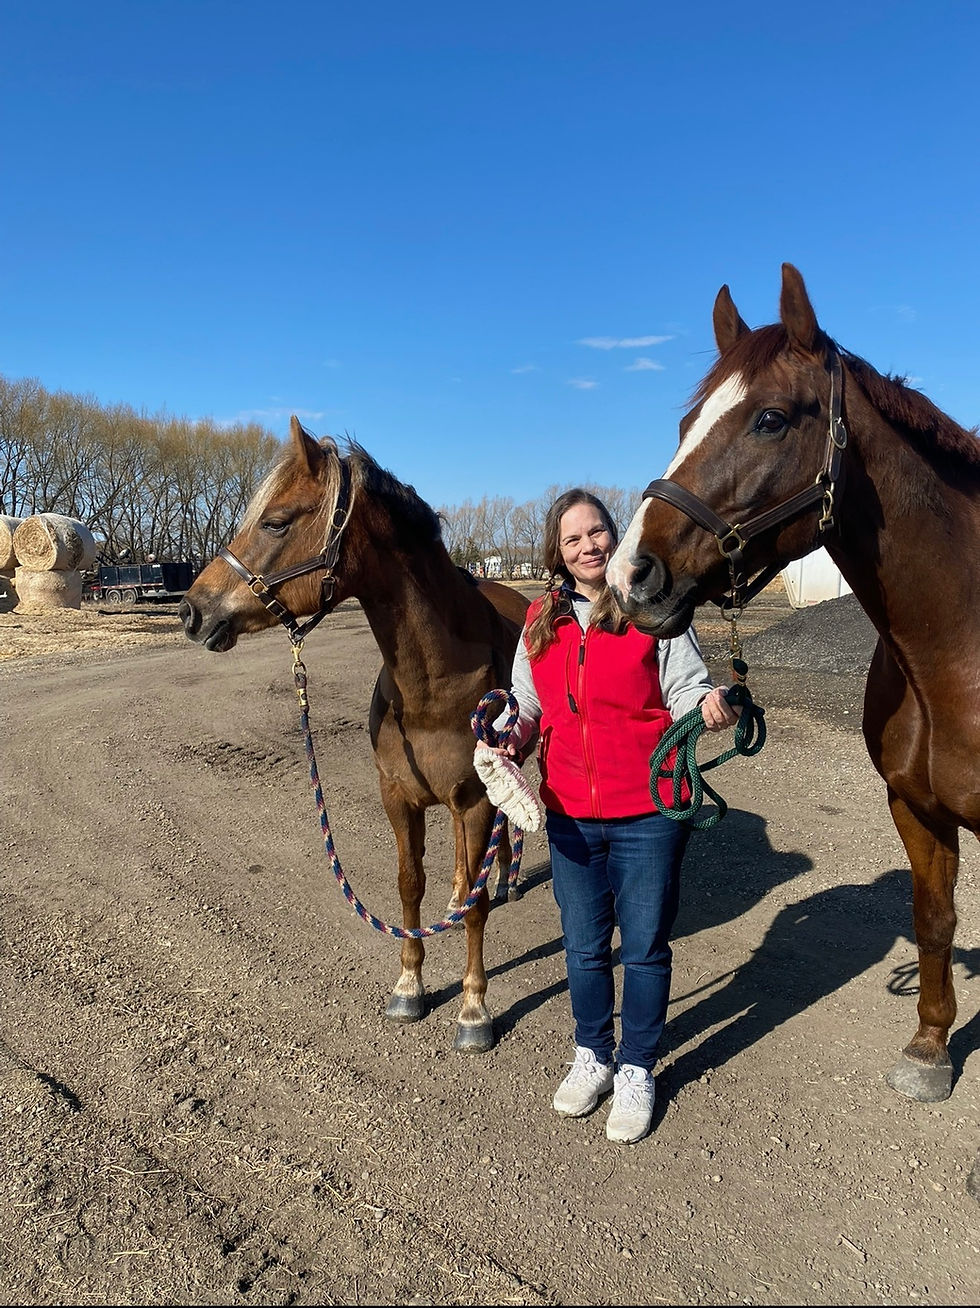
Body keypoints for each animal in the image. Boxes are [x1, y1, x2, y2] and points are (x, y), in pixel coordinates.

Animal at [179, 416, 530, 1053]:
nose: (192, 611)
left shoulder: (473, 799)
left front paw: (473, 1009)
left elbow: (476, 910)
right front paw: (410, 984)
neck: (433, 685)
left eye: (275, 521)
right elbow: (409, 885)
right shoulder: (399, 795)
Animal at [607, 263, 980, 1121]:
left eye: (771, 419)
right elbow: (934, 917)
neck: (954, 652)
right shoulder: (916, 806)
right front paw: (928, 1049)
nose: (628, 573)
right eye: (686, 421)